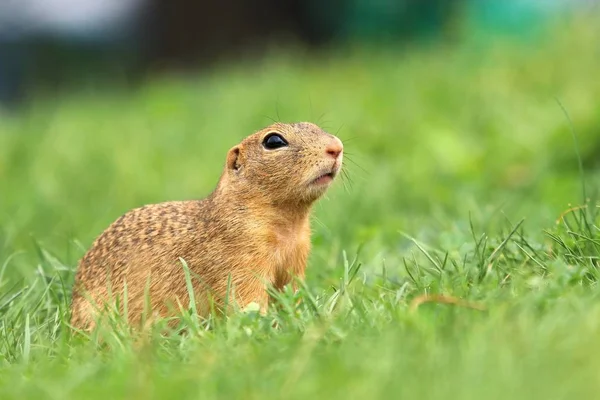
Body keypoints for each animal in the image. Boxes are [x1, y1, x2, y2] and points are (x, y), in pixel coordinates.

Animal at [69, 122, 342, 332]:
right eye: (274, 141)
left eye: (315, 125)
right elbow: (247, 299)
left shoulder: (295, 260)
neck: (288, 224)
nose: (337, 147)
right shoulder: (241, 262)